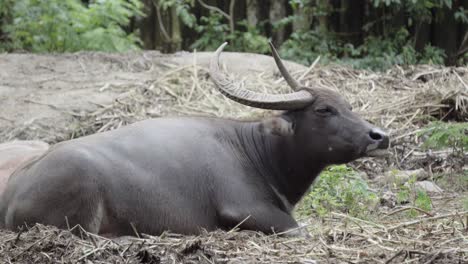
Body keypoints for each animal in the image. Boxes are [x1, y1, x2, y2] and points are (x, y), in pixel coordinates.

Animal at [0, 43, 388, 237]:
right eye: (324, 110)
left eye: (348, 105)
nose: (380, 136)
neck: (255, 152)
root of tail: (11, 194)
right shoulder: (246, 209)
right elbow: (299, 230)